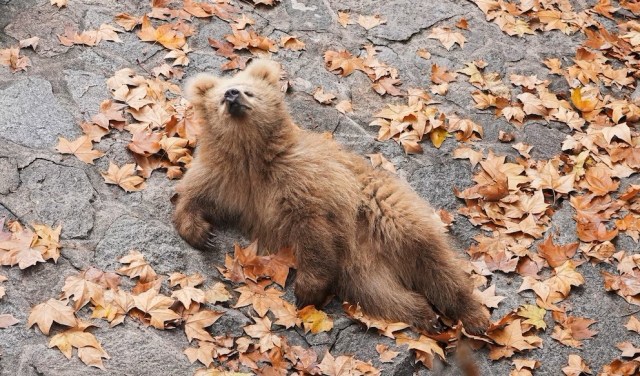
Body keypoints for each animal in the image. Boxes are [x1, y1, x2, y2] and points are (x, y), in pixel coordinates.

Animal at [172, 59, 488, 334]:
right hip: (360, 271)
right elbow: (194, 196)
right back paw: (425, 315)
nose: (232, 94)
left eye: (248, 90)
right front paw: (201, 233)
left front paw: (305, 290)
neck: (252, 156)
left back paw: (474, 316)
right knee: (381, 295)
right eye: (219, 97)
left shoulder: (301, 181)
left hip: (388, 214)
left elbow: (313, 230)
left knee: (435, 263)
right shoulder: (228, 181)